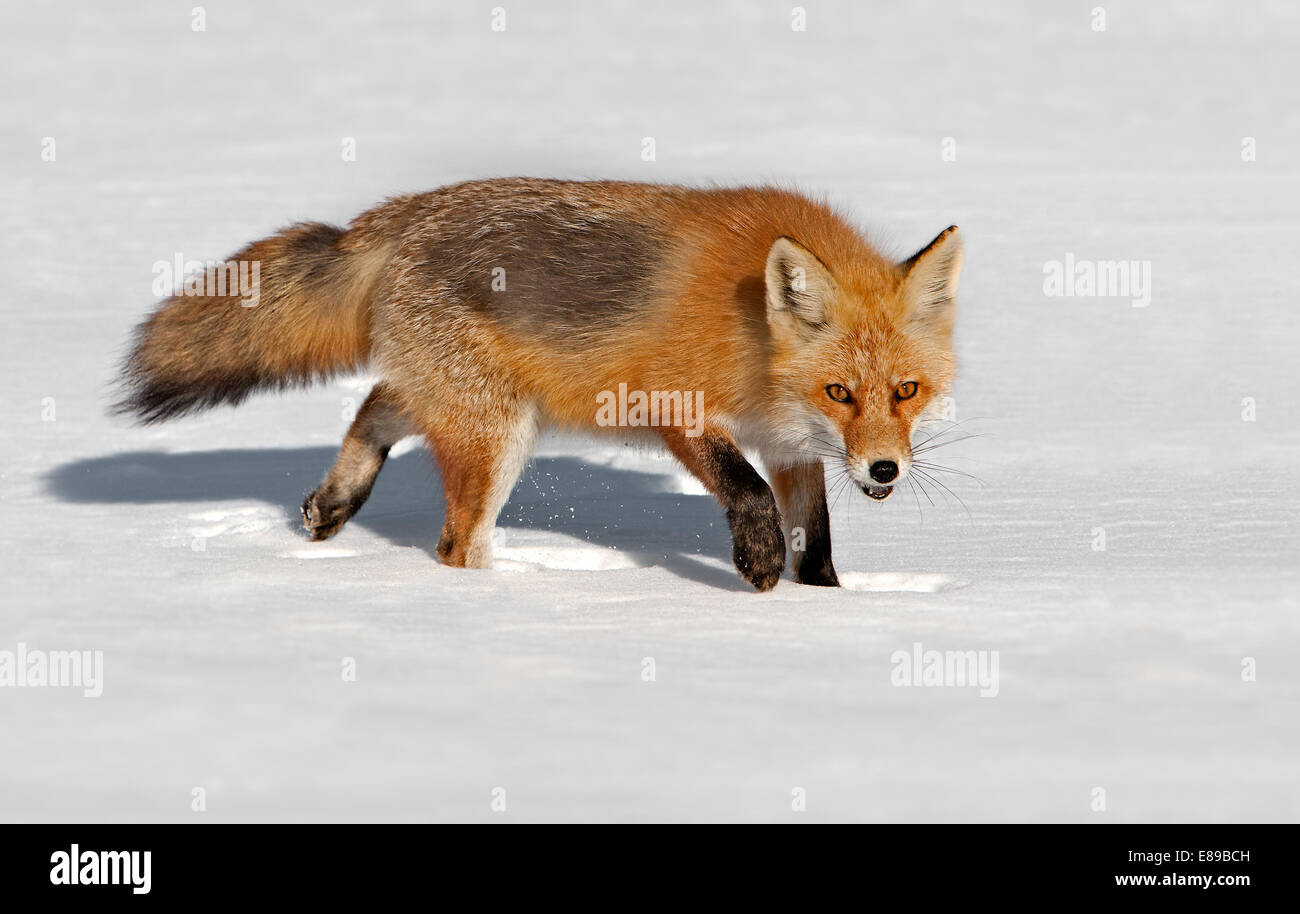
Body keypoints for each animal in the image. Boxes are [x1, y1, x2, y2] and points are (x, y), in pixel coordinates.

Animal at [117, 178, 963, 592]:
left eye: (907, 391)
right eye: (840, 393)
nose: (885, 468)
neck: (756, 336)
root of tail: (397, 217)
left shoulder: (791, 448)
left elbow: (815, 540)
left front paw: (825, 606)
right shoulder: (673, 405)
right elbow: (745, 491)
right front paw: (757, 566)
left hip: (472, 402)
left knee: (379, 403)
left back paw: (335, 500)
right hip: (496, 432)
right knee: (456, 544)